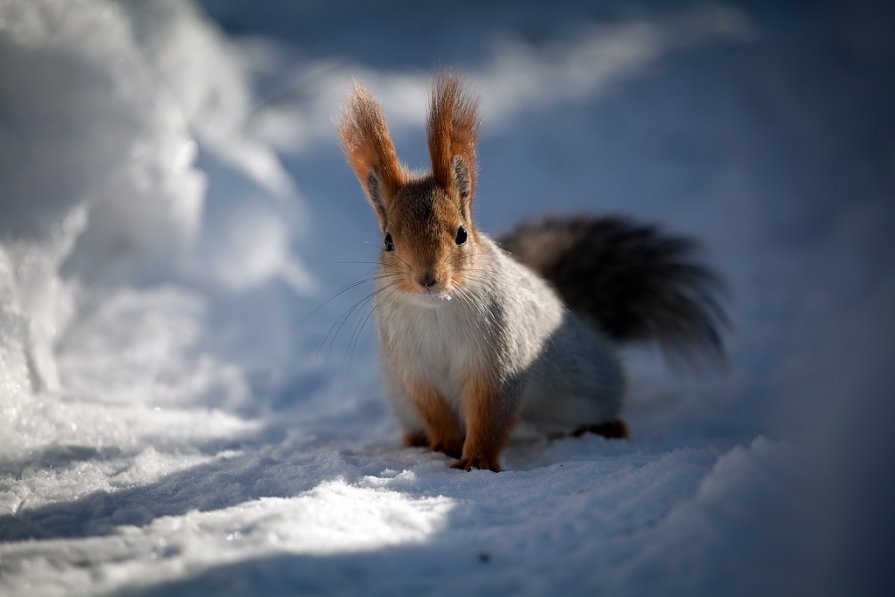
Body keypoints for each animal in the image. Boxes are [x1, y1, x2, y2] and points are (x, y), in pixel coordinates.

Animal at [338, 73, 728, 470]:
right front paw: (445, 448)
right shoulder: (414, 371)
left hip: (588, 389)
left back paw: (607, 427)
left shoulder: (499, 362)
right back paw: (416, 440)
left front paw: (476, 462)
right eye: (388, 241)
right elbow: (436, 414)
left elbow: (489, 417)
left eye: (461, 234)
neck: (436, 310)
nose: (428, 279)